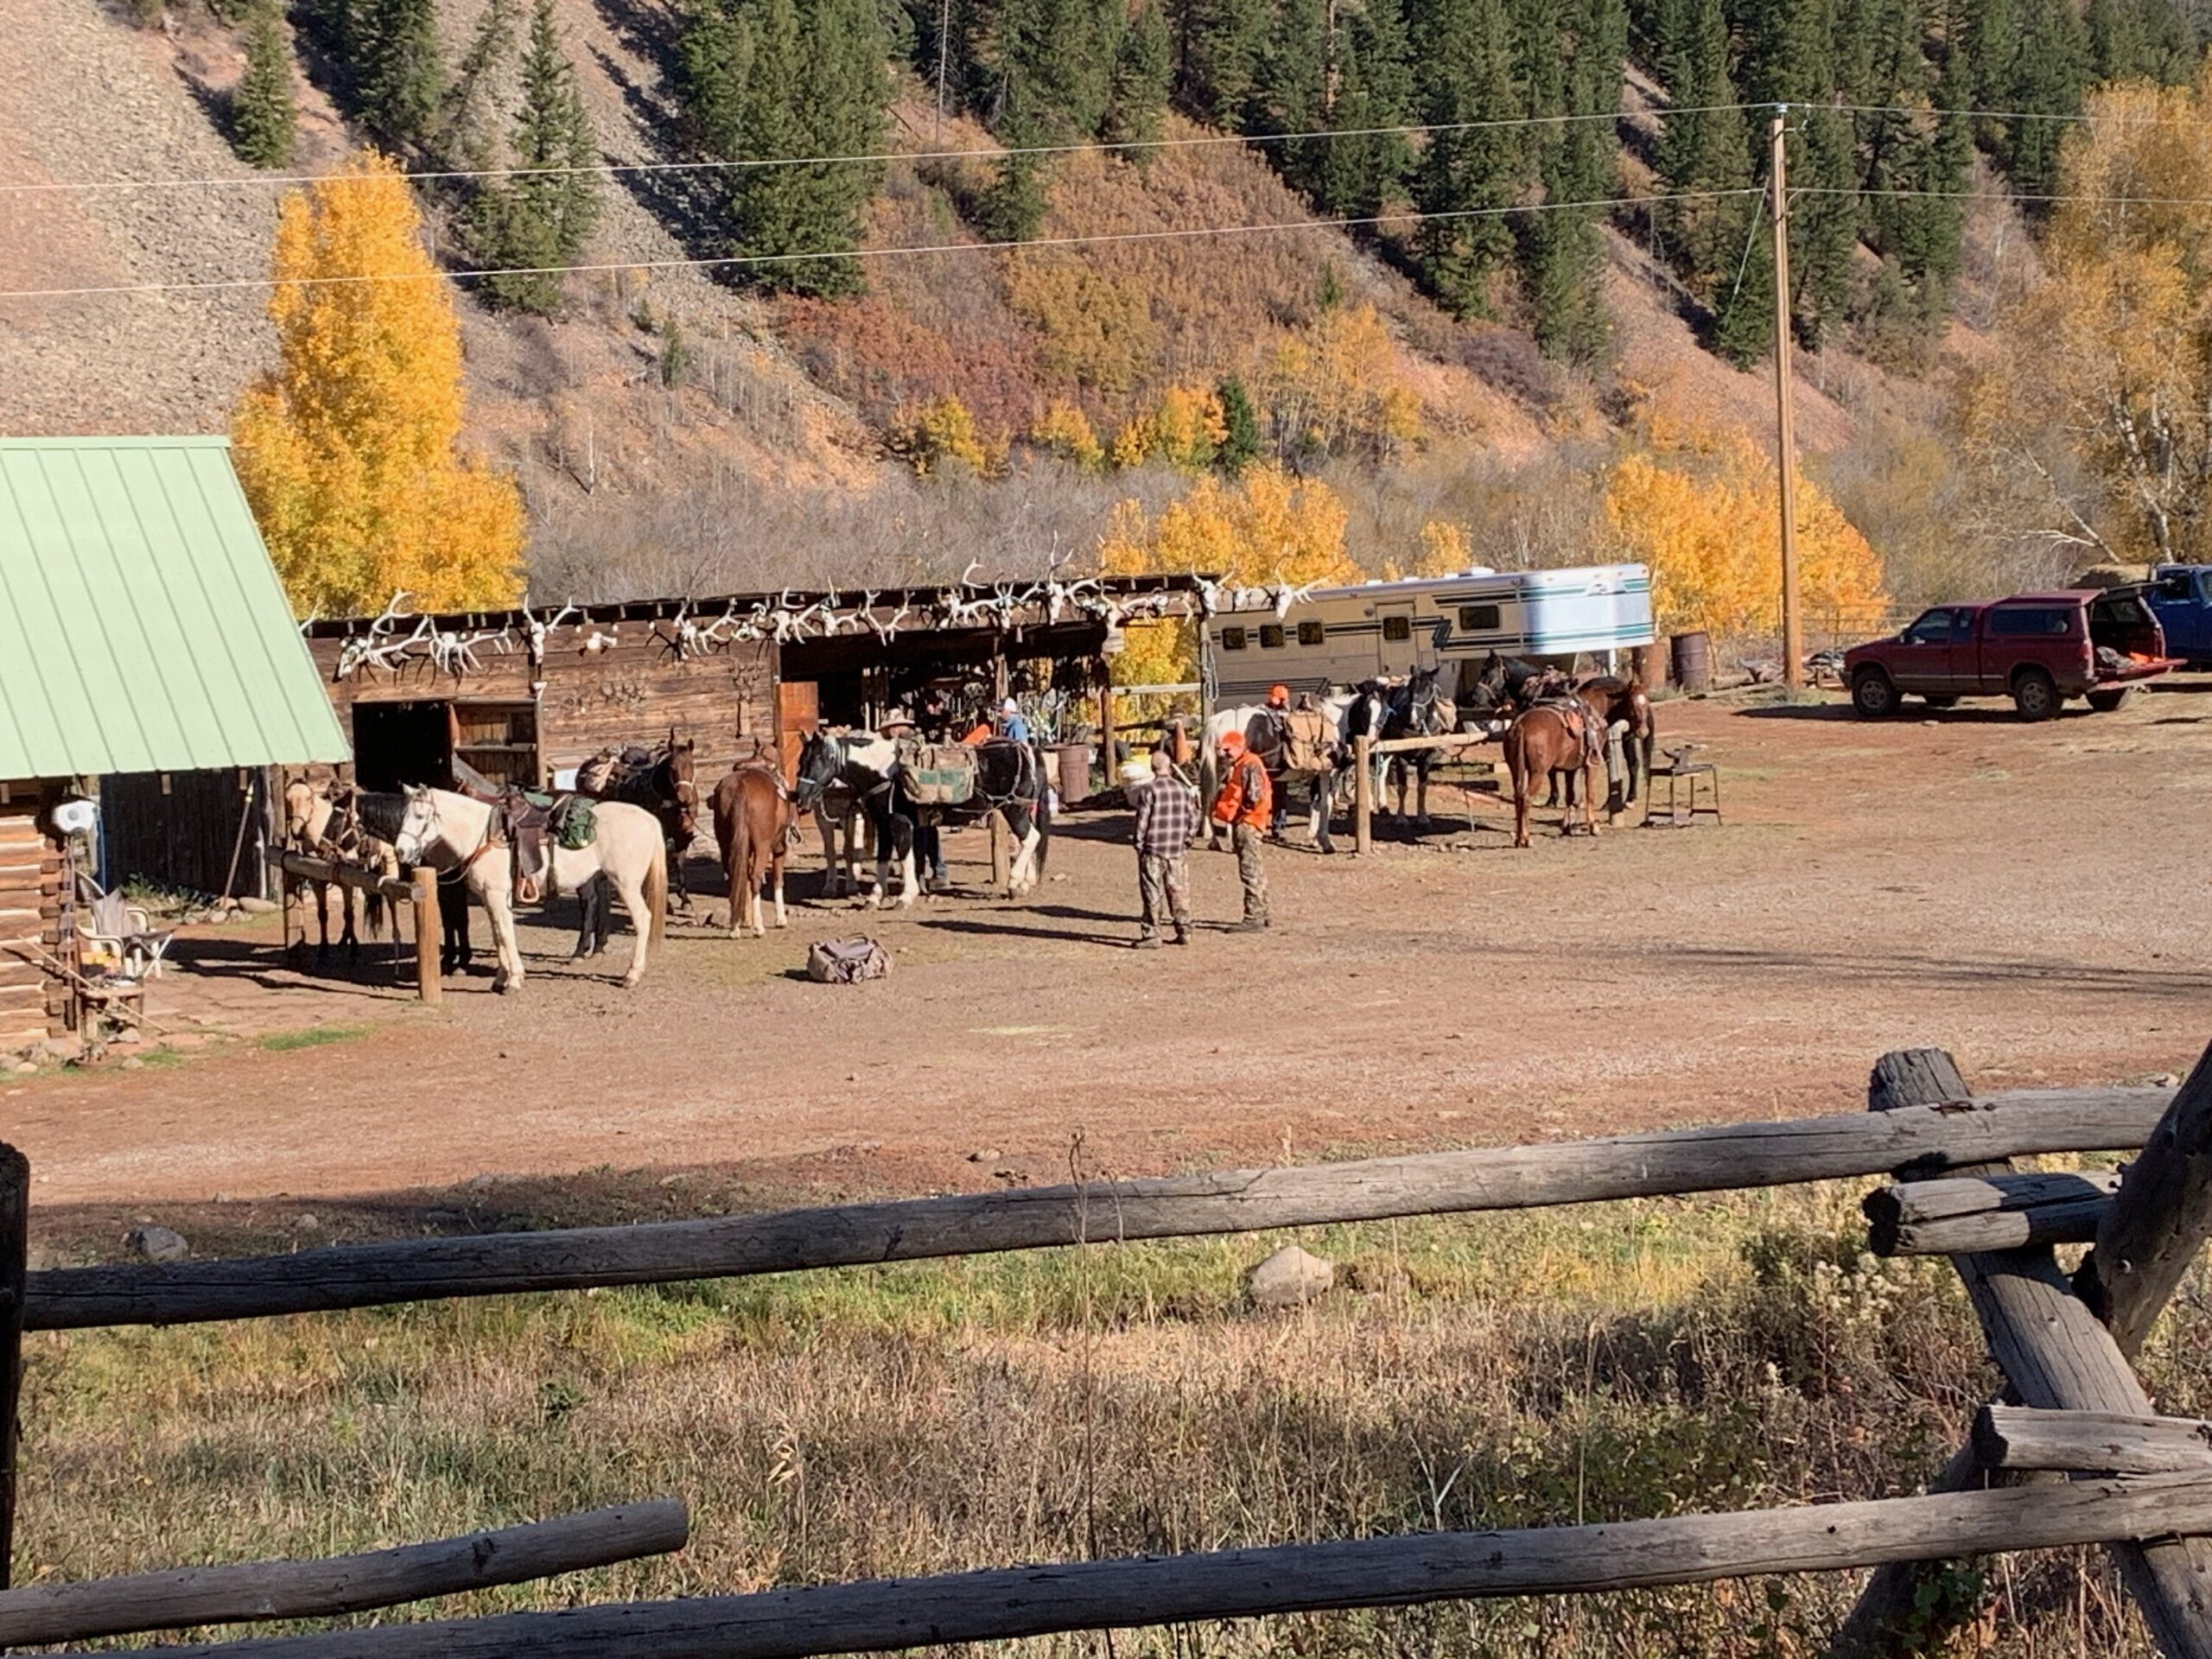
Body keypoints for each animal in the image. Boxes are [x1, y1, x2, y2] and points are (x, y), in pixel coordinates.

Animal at [391, 787, 664, 995]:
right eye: (403, 815)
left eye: (419, 815)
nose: (400, 851)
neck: (486, 835)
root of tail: (650, 820)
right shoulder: (491, 898)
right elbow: (498, 935)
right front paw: (500, 979)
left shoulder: (496, 895)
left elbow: (505, 934)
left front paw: (513, 981)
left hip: (626, 884)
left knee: (642, 919)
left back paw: (631, 975)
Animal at [708, 752, 796, 938]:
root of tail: (740, 786)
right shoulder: (779, 846)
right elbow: (777, 879)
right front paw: (780, 920)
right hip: (763, 846)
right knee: (756, 877)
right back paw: (758, 928)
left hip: (725, 845)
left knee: (734, 878)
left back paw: (734, 928)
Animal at [1495, 708, 1601, 849]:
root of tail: (1521, 724)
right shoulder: (1591, 767)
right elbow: (1590, 795)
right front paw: (1593, 827)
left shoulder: (1570, 770)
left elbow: (1569, 797)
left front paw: (1566, 828)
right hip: (1538, 773)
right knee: (1527, 798)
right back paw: (1527, 838)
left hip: (1517, 771)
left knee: (1518, 798)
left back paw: (1518, 839)